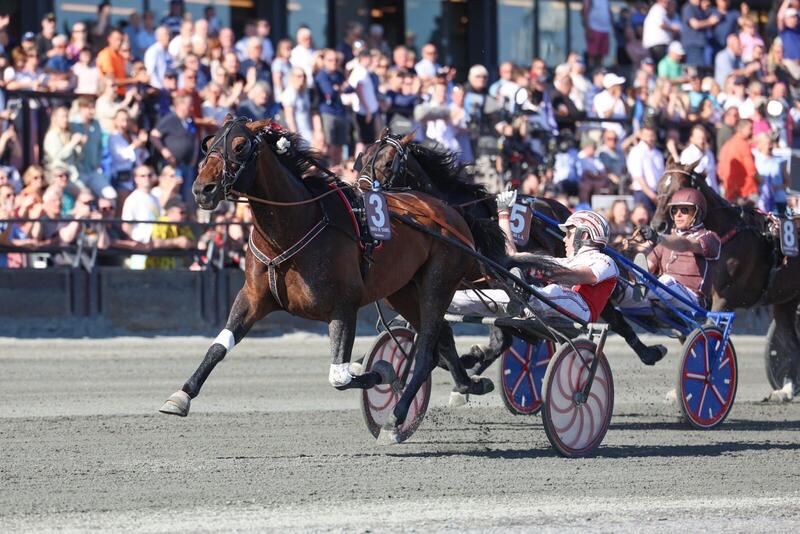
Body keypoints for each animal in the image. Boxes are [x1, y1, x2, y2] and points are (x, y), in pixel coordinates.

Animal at [159, 116, 504, 440]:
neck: (293, 227)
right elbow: (218, 347)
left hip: (438, 282)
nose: (201, 189)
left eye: (240, 146)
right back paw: (469, 383)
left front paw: (382, 372)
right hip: (404, 291)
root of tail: (450, 211)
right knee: (441, 337)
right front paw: (181, 395)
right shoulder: (252, 298)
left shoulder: (344, 306)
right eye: (208, 144)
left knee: (426, 349)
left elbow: (341, 375)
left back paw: (396, 417)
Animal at [648, 159, 800, 398]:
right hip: (786, 300)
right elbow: (688, 334)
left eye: (679, 189)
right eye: (659, 186)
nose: (657, 226)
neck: (723, 234)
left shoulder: (723, 298)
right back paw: (785, 389)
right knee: (791, 341)